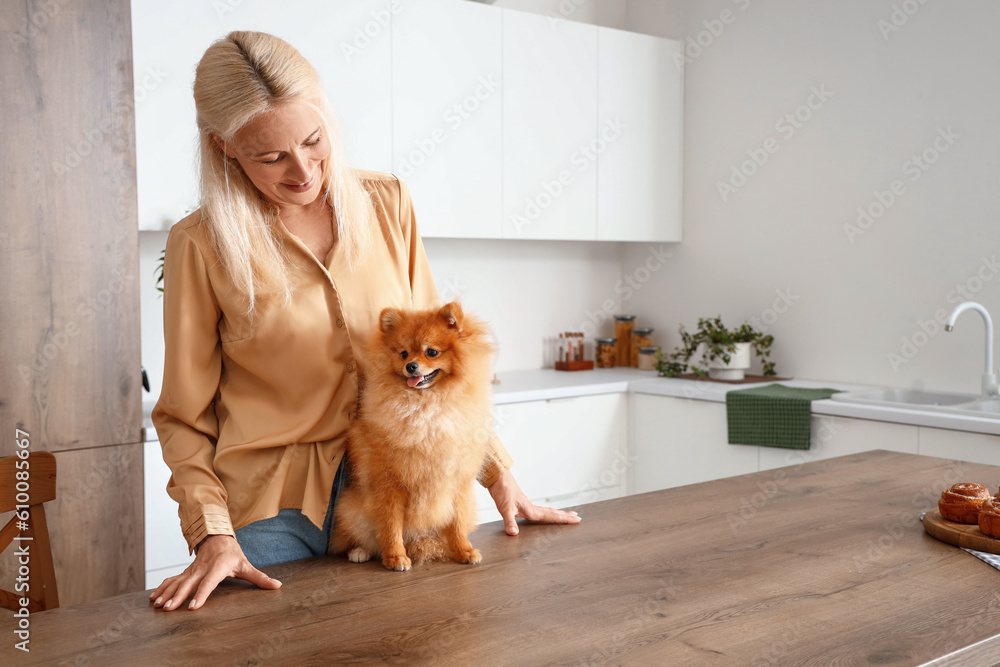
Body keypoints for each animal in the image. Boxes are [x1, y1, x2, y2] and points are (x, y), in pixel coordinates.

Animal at [332, 304, 496, 576]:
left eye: (432, 352)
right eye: (403, 353)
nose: (411, 366)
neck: (427, 410)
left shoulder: (457, 481)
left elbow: (457, 522)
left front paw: (463, 550)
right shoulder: (389, 484)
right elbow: (390, 526)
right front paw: (395, 557)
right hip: (351, 509)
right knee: (360, 536)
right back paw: (360, 551)